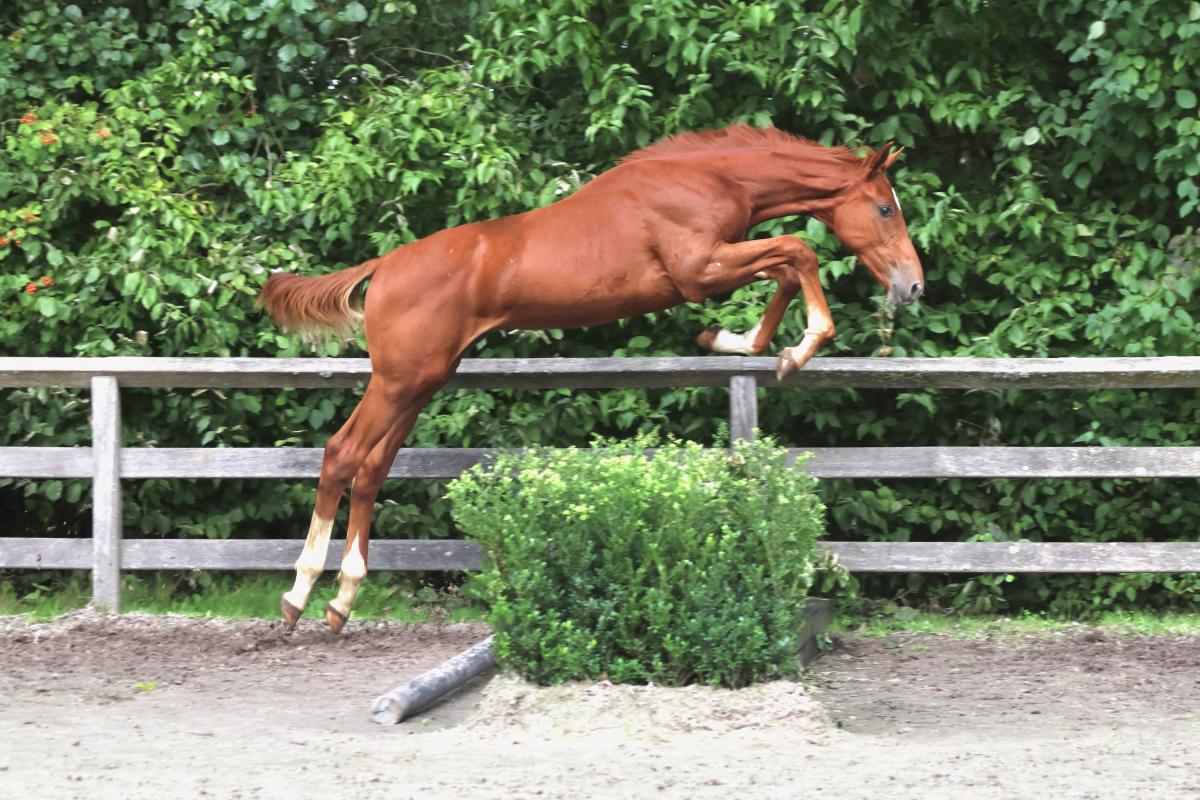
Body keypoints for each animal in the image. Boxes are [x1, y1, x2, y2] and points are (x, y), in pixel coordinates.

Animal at [258, 124, 924, 632]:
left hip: (423, 382)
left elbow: (786, 268)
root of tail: (384, 266)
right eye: (885, 207)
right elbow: (797, 253)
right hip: (397, 382)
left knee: (372, 469)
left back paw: (342, 603)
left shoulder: (716, 266)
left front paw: (738, 343)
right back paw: (297, 596)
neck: (711, 180)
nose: (912, 285)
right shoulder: (699, 270)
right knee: (342, 455)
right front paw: (794, 349)